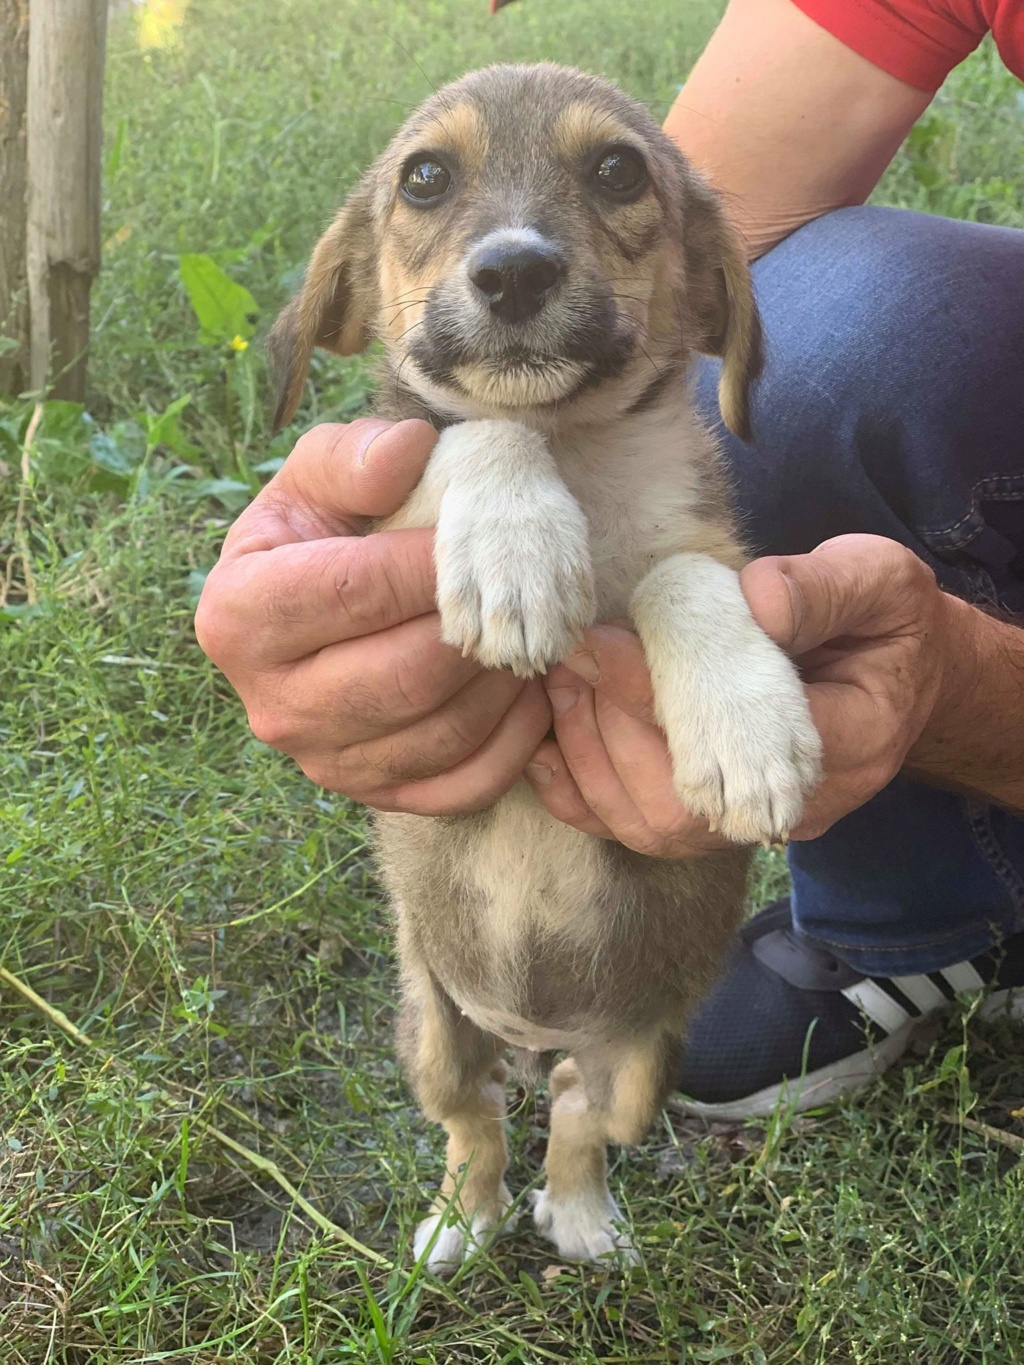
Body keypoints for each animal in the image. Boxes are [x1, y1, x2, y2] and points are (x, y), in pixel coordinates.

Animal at [270, 64, 819, 1266]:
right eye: (426, 178)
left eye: (616, 169)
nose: (515, 270)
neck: (577, 448)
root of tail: (530, 1029)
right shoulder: (386, 503)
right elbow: (470, 427)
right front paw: (514, 552)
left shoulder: (714, 550)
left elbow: (680, 577)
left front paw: (747, 731)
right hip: (429, 1027)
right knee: (474, 1122)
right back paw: (457, 1227)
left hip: (645, 1051)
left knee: (574, 1112)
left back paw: (581, 1221)